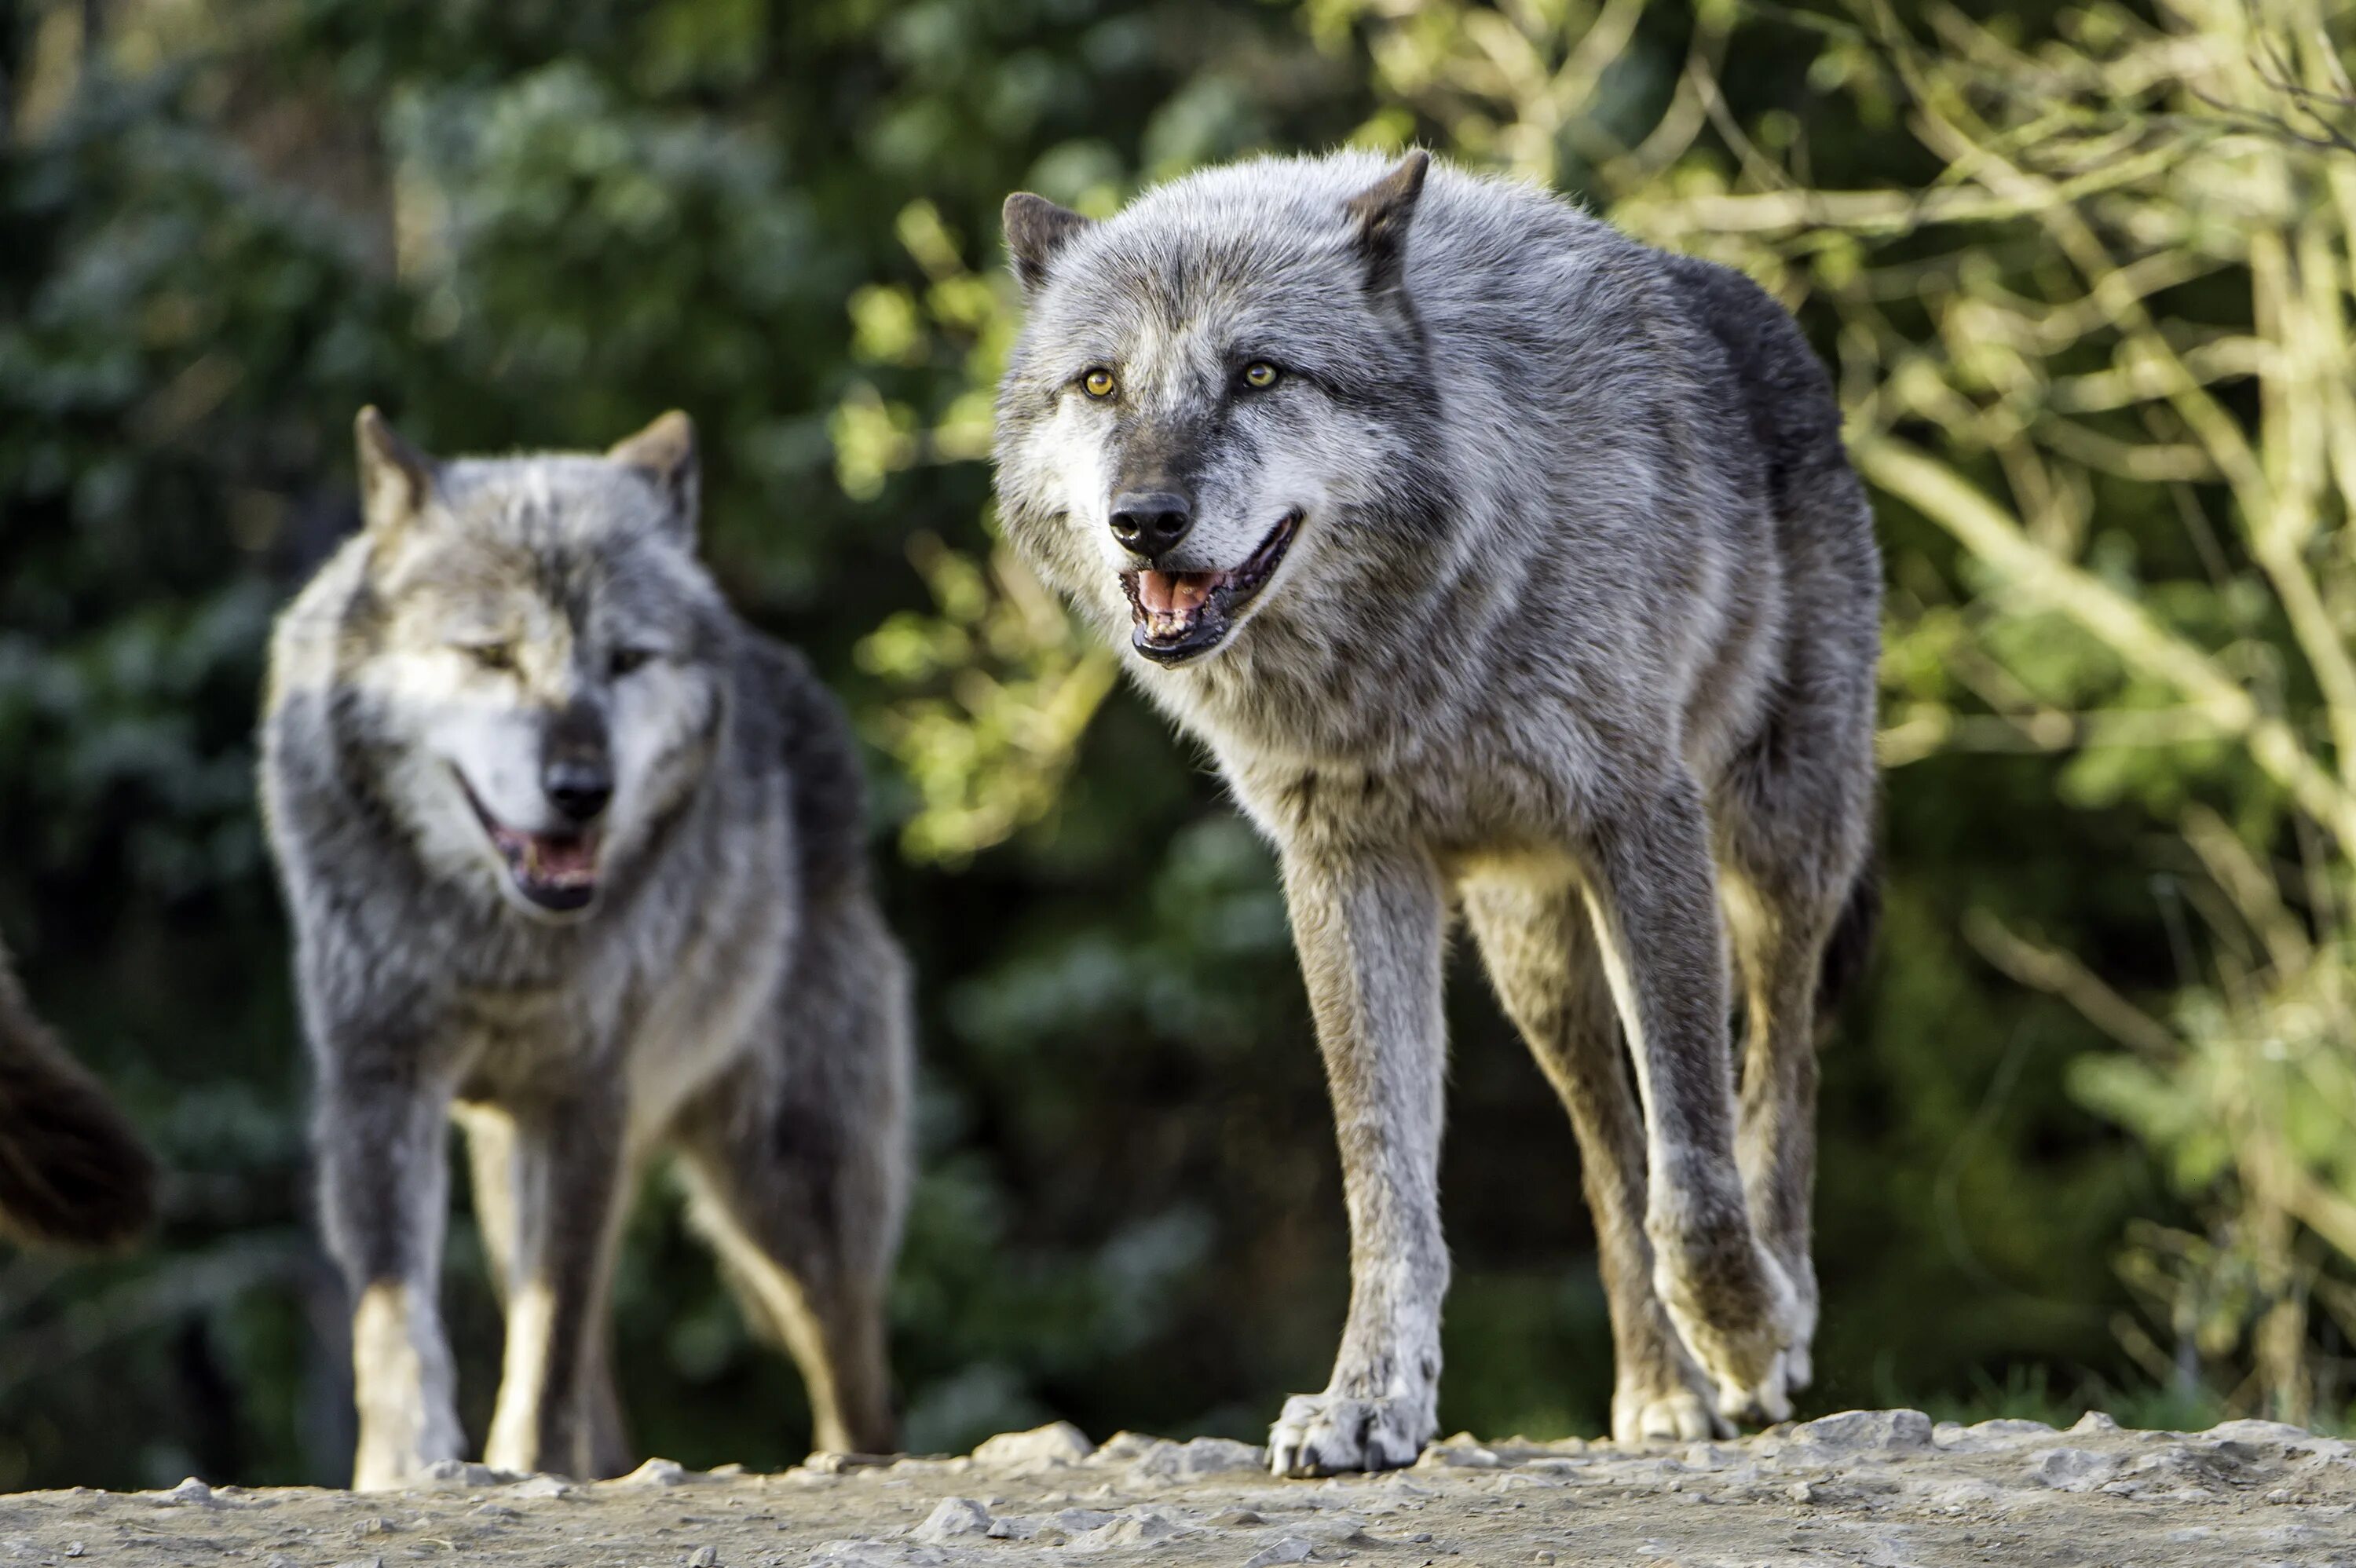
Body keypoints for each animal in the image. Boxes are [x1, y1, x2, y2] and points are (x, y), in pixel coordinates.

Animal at [262, 409, 909, 1488]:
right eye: (489, 654)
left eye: (628, 658)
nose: (580, 790)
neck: (499, 945)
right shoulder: (379, 1077)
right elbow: (397, 1314)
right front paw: (405, 1463)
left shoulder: (584, 1097)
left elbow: (550, 1337)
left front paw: (523, 1464)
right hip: (512, 1171)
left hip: (787, 1190)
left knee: (852, 1372)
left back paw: (854, 1463)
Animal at [994, 146, 1875, 1469]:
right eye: (1100, 383)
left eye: (1261, 373)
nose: (1143, 521)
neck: (1408, 655)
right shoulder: (1347, 869)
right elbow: (1387, 1178)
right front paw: (1368, 1400)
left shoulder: (1642, 821)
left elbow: (1698, 1157)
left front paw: (1750, 1333)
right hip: (1537, 963)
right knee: (1608, 1152)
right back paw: (1660, 1389)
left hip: (1779, 851)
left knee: (1776, 1074)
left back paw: (1765, 1319)